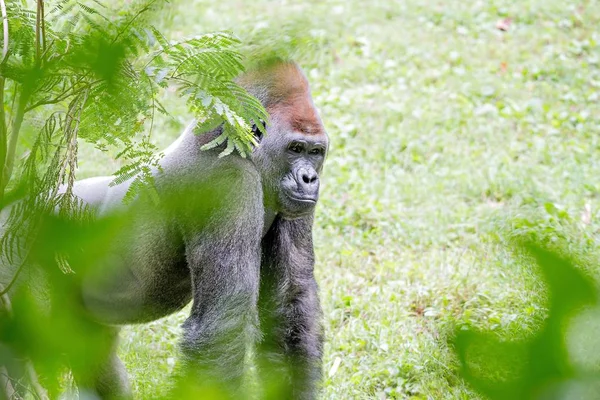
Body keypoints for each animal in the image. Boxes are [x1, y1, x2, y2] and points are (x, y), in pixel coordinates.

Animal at [1, 61, 328, 398]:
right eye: (295, 148)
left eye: (315, 152)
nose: (310, 179)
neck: (233, 146)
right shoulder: (227, 185)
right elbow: (222, 325)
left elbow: (290, 300)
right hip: (14, 250)